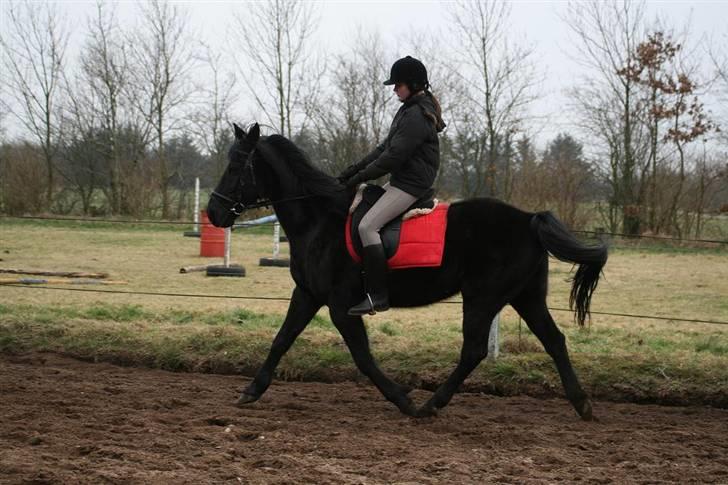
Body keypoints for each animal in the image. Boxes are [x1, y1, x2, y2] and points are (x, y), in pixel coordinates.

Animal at [208, 123, 604, 418]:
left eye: (236, 165)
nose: (214, 213)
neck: (319, 221)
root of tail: (529, 219)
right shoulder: (307, 294)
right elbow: (281, 339)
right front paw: (251, 391)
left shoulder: (340, 305)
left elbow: (363, 357)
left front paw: (403, 398)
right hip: (525, 296)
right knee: (554, 340)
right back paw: (582, 405)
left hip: (483, 297)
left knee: (474, 350)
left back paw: (431, 405)